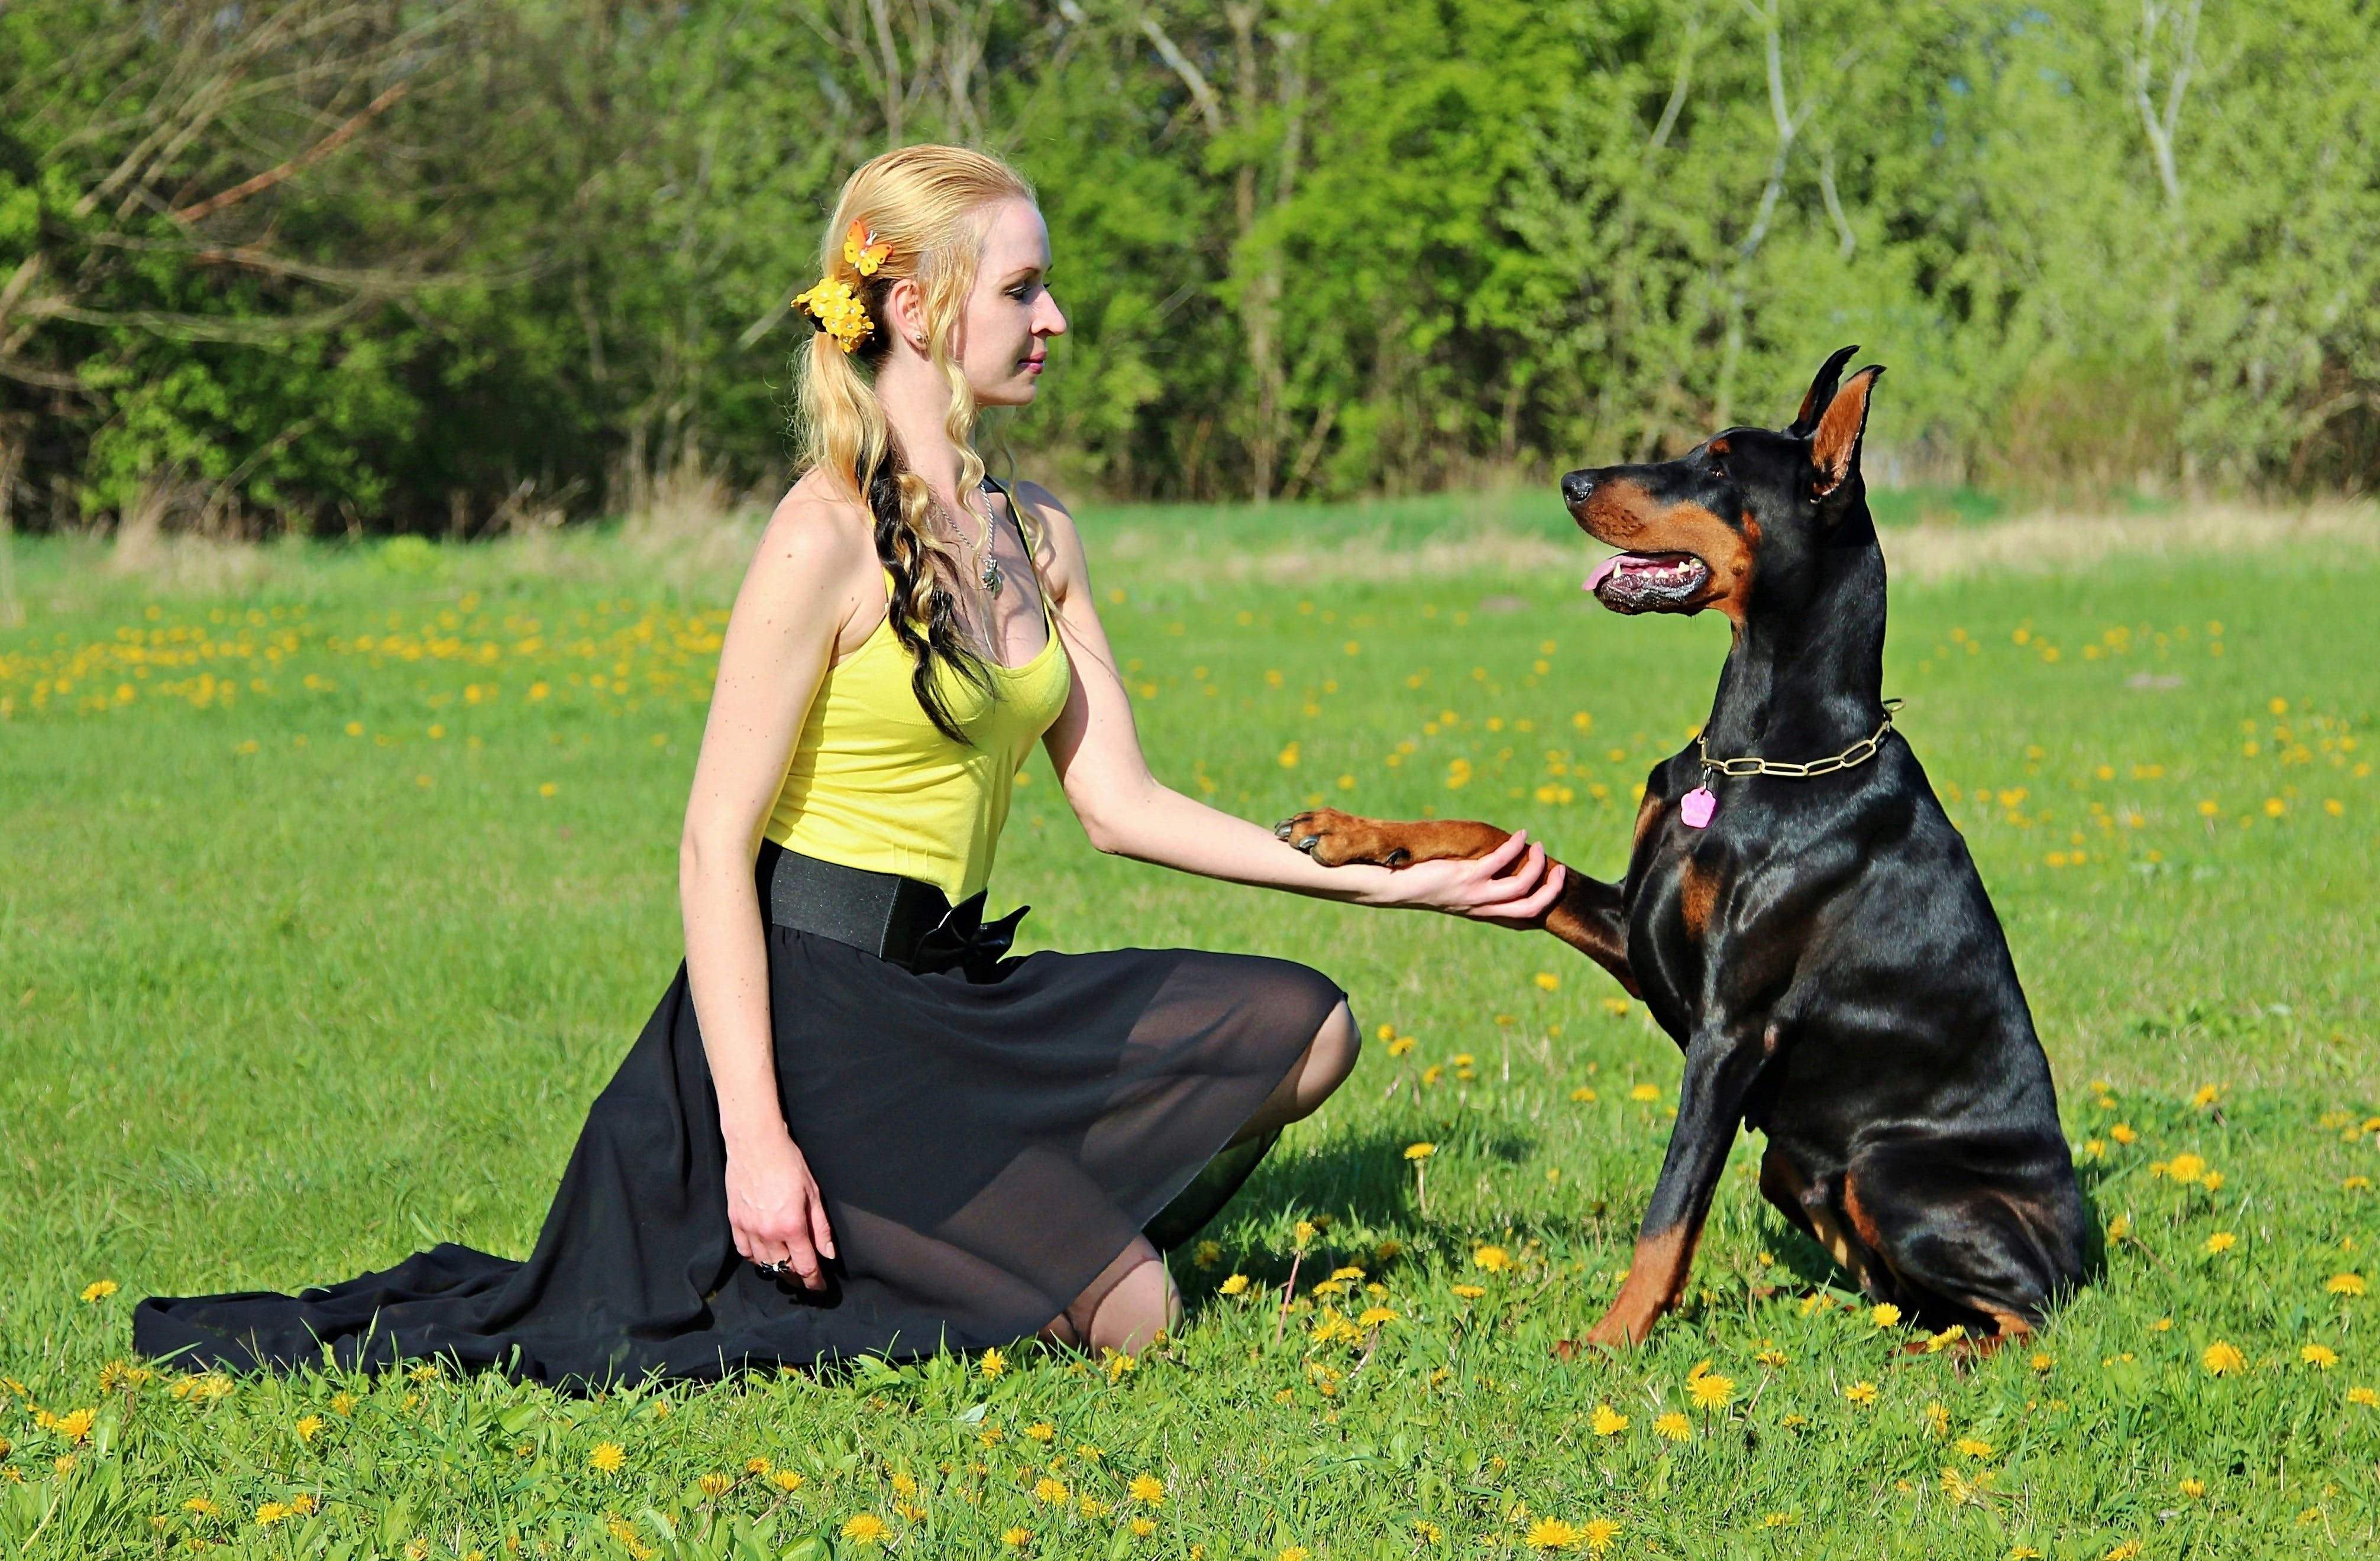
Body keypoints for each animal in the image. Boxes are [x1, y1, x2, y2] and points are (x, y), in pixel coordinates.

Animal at [1275, 347, 2075, 1351]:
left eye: (1721, 469)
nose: (1572, 482)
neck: (1757, 753)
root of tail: (2088, 1249)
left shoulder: (1731, 1030)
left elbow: (1669, 1210)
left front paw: (1604, 1344)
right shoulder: (1635, 925)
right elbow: (1499, 842)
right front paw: (1352, 832)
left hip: (1893, 1172)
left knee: (2028, 1314)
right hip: (1792, 1166)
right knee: (1899, 1290)